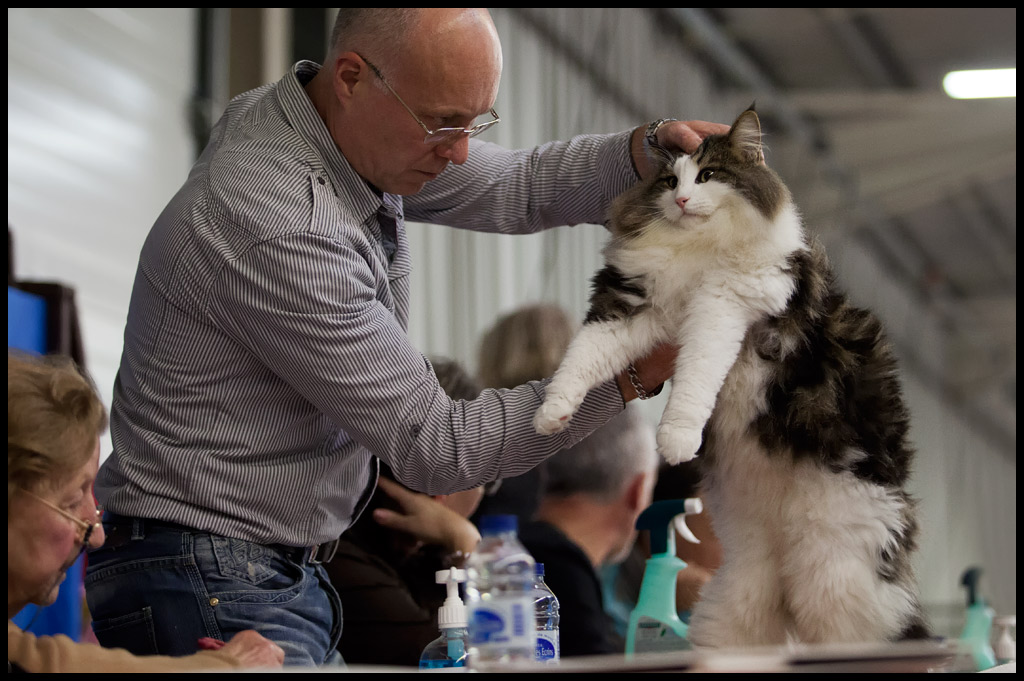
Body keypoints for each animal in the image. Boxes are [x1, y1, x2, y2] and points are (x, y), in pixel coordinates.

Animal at [536, 109, 929, 647]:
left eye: (706, 176)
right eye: (669, 181)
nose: (681, 200)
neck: (696, 249)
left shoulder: (721, 309)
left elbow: (696, 379)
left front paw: (676, 440)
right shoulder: (630, 308)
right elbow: (579, 361)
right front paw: (550, 415)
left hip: (838, 578)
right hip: (741, 591)